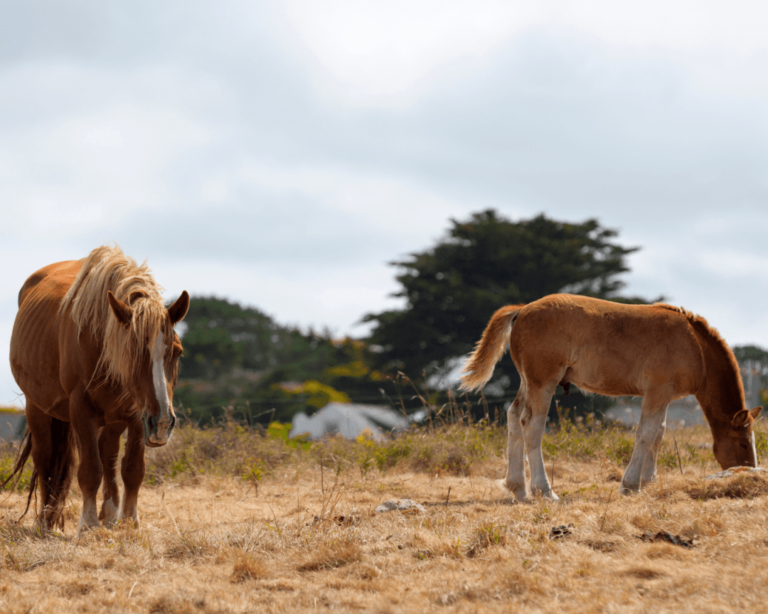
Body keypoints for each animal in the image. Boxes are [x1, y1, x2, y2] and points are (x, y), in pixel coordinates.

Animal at [5, 245, 189, 533]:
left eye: (177, 353)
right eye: (131, 354)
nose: (162, 423)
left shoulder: (137, 414)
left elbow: (133, 469)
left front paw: (129, 521)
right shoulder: (81, 410)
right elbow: (90, 470)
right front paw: (88, 524)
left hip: (114, 419)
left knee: (109, 455)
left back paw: (110, 514)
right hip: (38, 409)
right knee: (45, 459)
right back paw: (45, 522)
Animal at [460, 294, 761, 502]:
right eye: (744, 444)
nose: (751, 473)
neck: (695, 346)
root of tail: (522, 310)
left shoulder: (664, 395)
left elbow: (658, 434)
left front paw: (648, 482)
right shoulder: (657, 390)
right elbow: (646, 434)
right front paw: (629, 485)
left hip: (527, 383)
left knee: (513, 418)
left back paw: (519, 490)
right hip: (542, 383)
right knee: (531, 426)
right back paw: (544, 491)